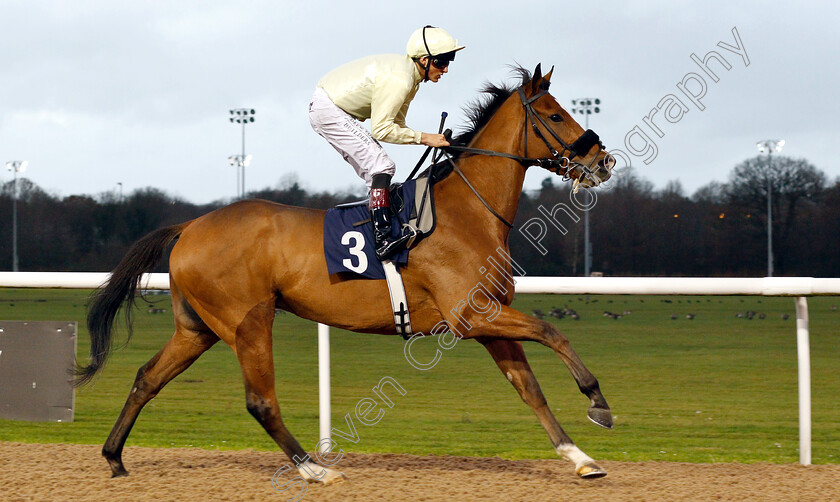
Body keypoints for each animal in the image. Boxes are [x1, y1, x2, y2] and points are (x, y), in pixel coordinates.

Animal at [77, 64, 616, 484]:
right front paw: (597, 402)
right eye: (555, 114)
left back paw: (114, 457)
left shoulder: (489, 319)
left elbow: (529, 388)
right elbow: (552, 331)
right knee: (260, 401)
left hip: (198, 328)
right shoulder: (470, 316)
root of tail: (190, 225)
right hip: (248, 322)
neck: (467, 213)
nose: (602, 159)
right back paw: (315, 468)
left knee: (148, 378)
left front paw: (580, 458)